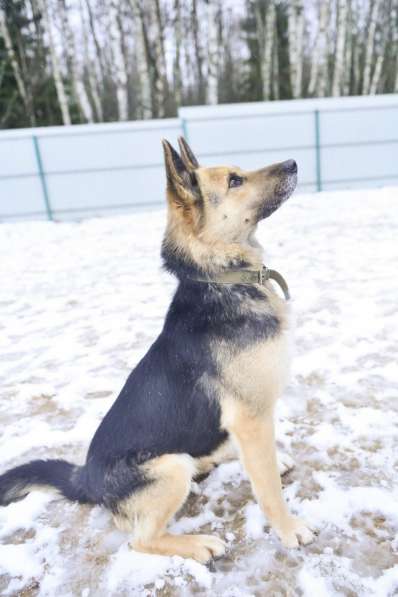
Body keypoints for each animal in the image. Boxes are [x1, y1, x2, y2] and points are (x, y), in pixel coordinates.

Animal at [1, 140, 316, 564]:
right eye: (235, 180)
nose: (294, 163)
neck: (219, 278)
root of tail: (85, 479)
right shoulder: (251, 418)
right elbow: (267, 488)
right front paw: (288, 528)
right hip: (169, 467)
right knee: (141, 538)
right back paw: (198, 544)